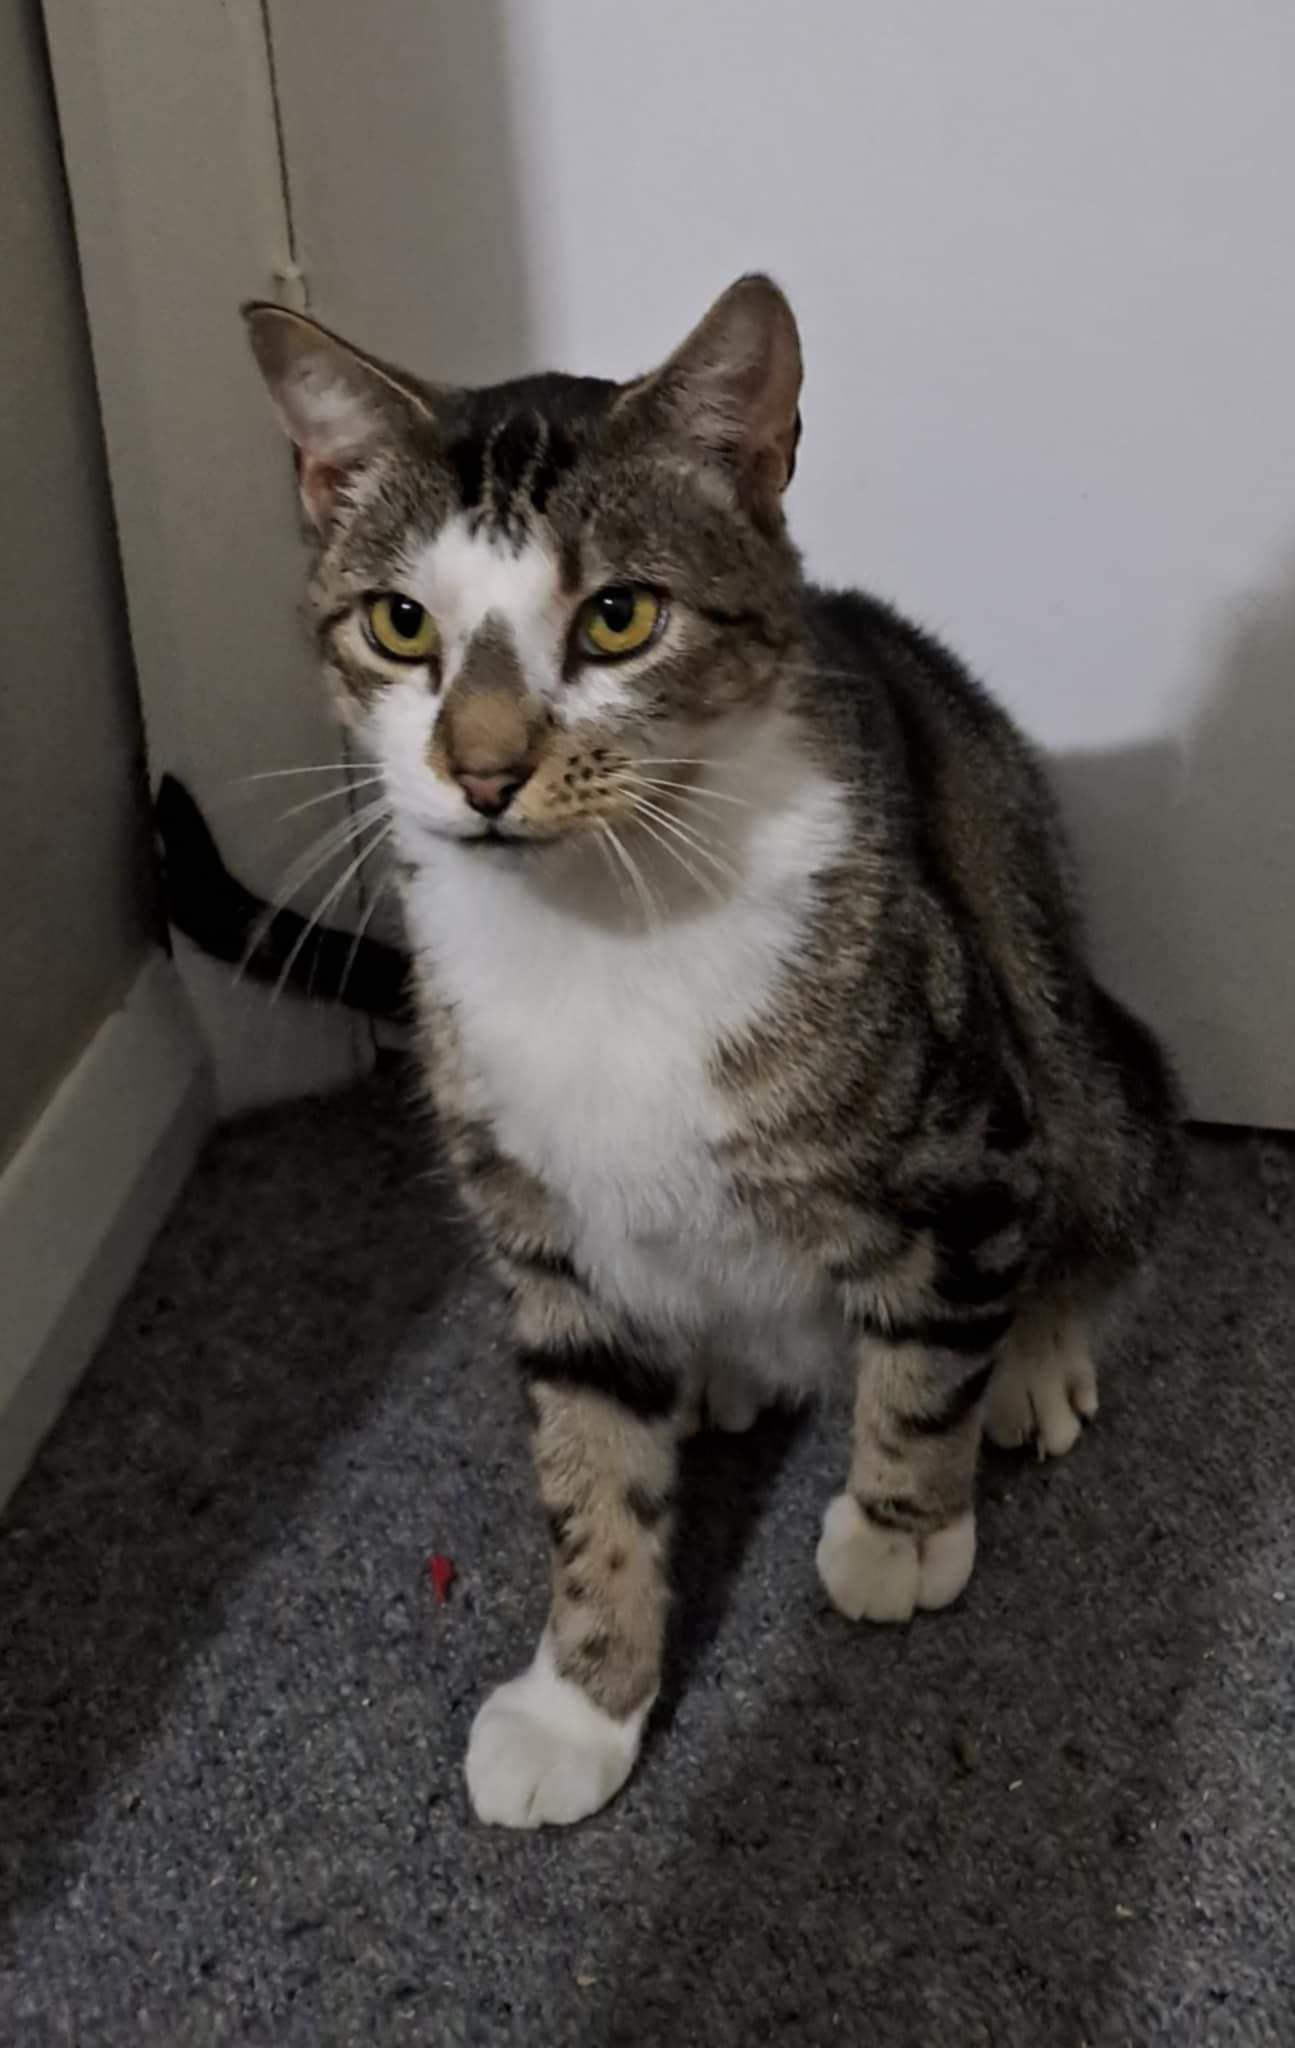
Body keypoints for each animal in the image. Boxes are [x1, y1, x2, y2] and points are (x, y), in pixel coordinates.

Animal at [244, 275, 1181, 1830]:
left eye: (619, 617)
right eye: (397, 622)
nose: (481, 770)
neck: (601, 926)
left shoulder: (966, 1136)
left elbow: (932, 1346)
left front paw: (897, 1529)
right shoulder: (539, 1224)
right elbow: (585, 1464)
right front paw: (580, 1700)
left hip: (1080, 1054)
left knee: (1098, 1184)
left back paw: (1033, 1360)